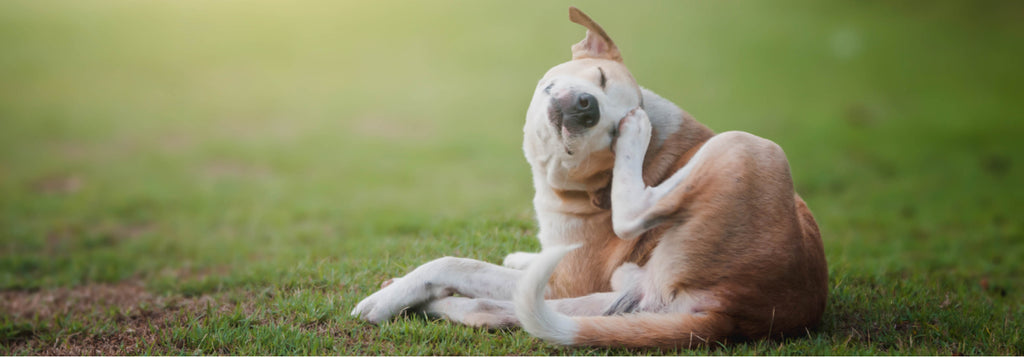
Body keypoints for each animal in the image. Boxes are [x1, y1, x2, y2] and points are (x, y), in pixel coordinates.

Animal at [356, 7, 827, 347]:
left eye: (611, 133)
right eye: (599, 77)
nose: (587, 107)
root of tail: (736, 316)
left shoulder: (565, 280)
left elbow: (453, 262)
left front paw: (384, 300)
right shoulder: (565, 281)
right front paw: (520, 256)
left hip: (750, 146)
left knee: (631, 216)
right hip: (616, 299)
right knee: (502, 312)